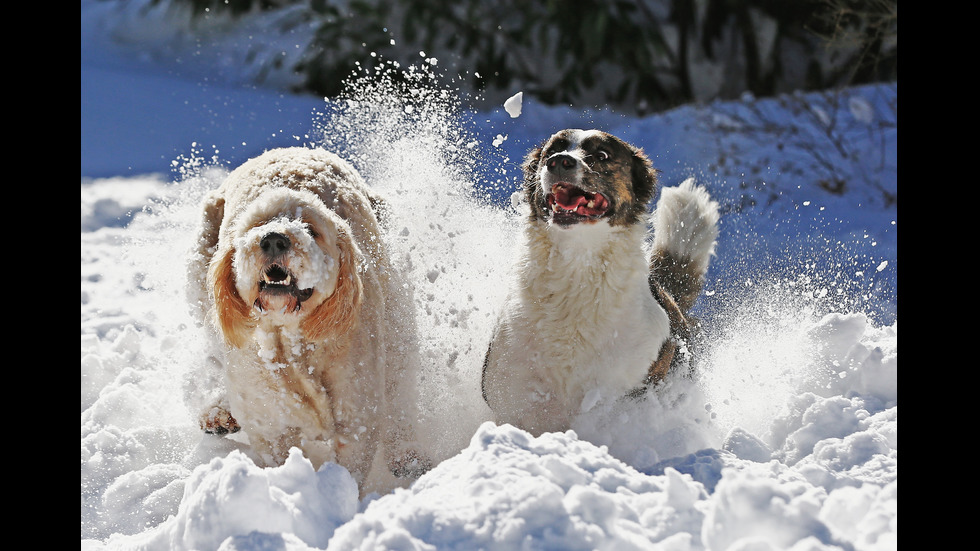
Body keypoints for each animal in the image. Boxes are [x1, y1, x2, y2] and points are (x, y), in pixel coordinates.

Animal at [188, 147, 428, 492]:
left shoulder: (356, 415)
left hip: (396, 310)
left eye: (311, 230)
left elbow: (350, 468)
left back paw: (407, 454)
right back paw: (219, 412)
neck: (290, 340)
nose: (273, 239)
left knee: (399, 387)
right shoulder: (269, 425)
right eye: (255, 226)